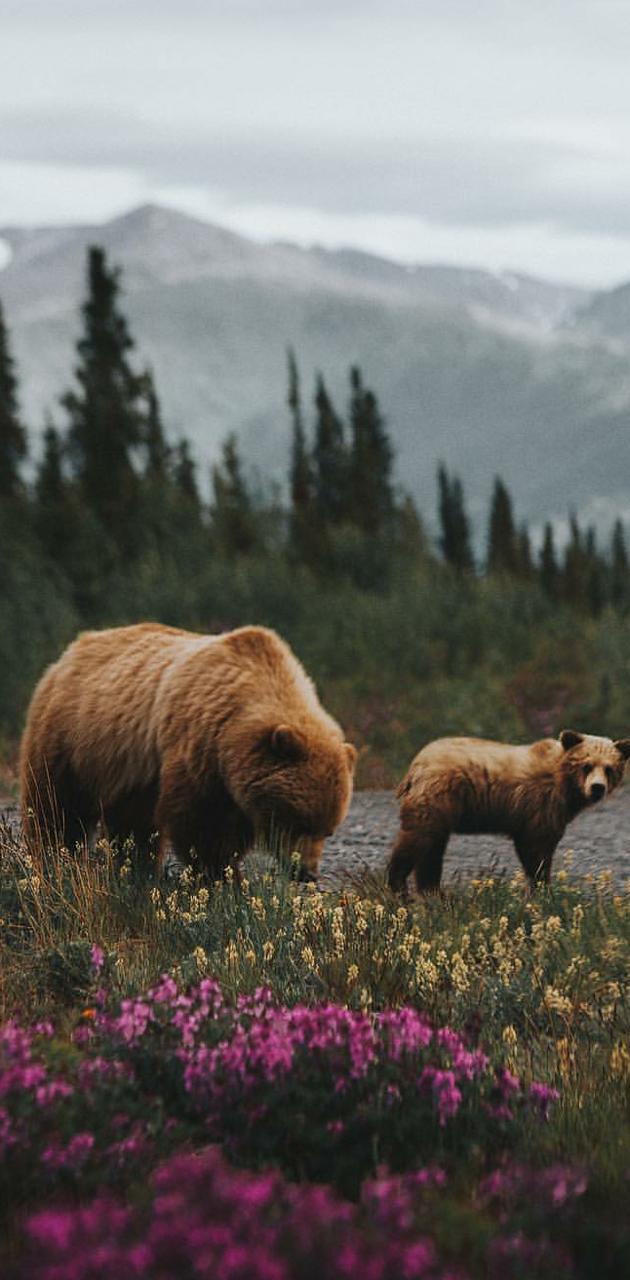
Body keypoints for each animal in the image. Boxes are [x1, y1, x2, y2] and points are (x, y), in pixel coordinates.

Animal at [20, 622, 357, 882]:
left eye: (328, 830)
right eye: (298, 822)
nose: (307, 872)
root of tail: (71, 651)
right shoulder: (199, 748)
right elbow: (201, 824)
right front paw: (221, 876)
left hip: (128, 769)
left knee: (132, 824)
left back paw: (136, 869)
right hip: (70, 740)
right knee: (57, 806)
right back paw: (53, 858)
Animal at [387, 730, 630, 893]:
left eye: (609, 768)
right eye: (586, 765)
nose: (597, 788)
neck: (565, 785)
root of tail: (417, 763)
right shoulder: (541, 805)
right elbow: (537, 848)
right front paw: (542, 888)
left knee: (432, 850)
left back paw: (433, 892)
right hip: (437, 796)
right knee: (416, 841)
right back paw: (398, 887)